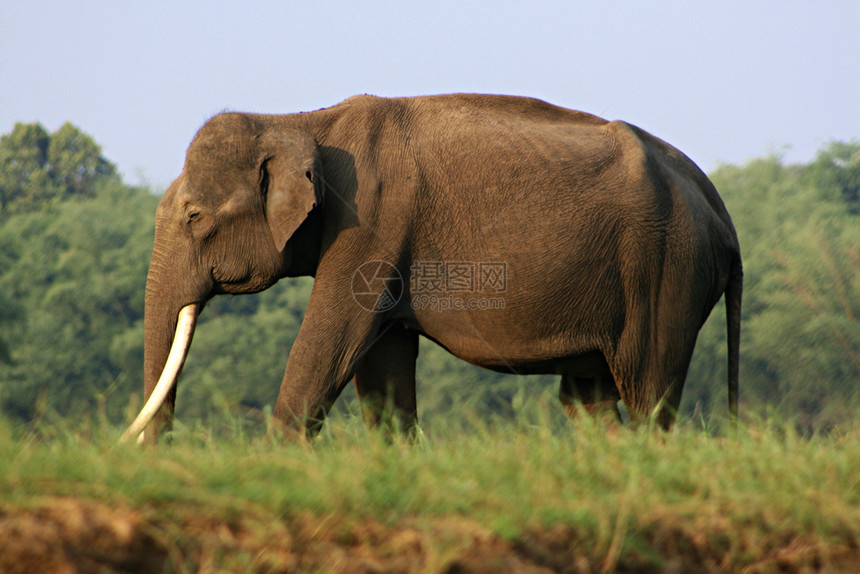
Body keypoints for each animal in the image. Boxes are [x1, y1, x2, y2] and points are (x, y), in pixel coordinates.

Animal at [119, 94, 740, 446]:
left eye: (194, 216)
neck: (303, 120)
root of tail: (719, 208)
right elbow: (381, 367)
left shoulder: (370, 223)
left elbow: (327, 346)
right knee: (588, 399)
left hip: (665, 269)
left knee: (648, 394)